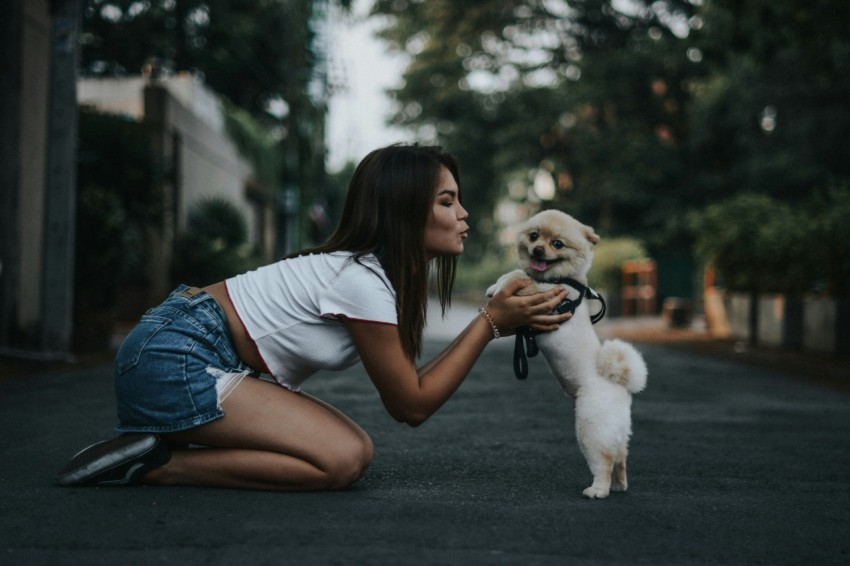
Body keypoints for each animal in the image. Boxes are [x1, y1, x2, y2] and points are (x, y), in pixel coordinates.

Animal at [486, 211, 644, 500]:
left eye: (557, 244)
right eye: (534, 236)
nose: (538, 249)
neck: (558, 279)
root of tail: (619, 384)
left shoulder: (546, 296)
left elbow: (520, 276)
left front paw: (499, 285)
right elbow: (518, 273)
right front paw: (496, 284)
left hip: (590, 429)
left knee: (604, 460)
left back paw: (599, 490)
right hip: (616, 432)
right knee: (621, 457)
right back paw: (619, 485)